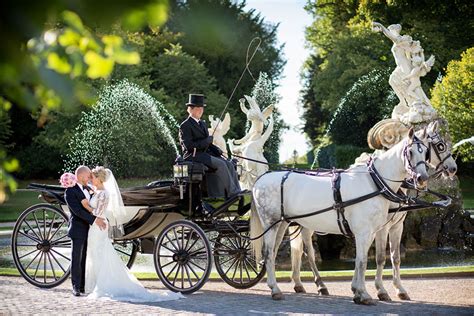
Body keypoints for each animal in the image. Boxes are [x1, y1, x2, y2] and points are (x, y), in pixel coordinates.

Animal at [252, 128, 434, 304]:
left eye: (426, 152)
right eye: (410, 152)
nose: (422, 178)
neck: (374, 182)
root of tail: (260, 180)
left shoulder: (372, 231)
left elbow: (364, 260)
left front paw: (358, 292)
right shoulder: (365, 232)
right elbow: (363, 261)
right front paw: (365, 294)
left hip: (282, 224)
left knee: (275, 252)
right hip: (271, 223)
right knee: (268, 253)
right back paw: (276, 289)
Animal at [284, 121, 458, 302]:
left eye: (425, 152)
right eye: (440, 145)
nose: (453, 168)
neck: (380, 182)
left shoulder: (396, 227)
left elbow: (394, 257)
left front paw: (398, 288)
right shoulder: (381, 228)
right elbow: (379, 257)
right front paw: (380, 289)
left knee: (297, 250)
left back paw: (298, 283)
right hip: (306, 226)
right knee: (308, 253)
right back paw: (320, 284)